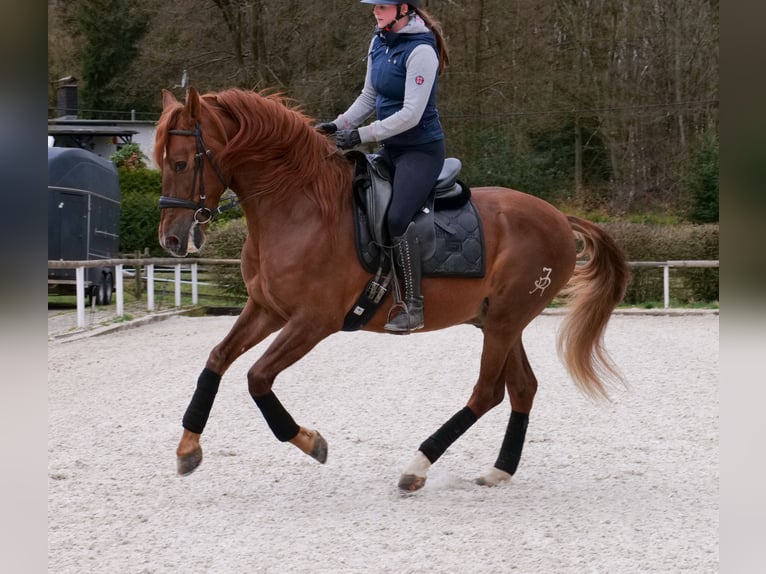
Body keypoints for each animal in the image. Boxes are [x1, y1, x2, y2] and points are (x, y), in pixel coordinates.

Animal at [155, 87, 630, 491]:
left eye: (181, 163)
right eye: (161, 162)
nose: (172, 240)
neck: (299, 206)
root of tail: (559, 217)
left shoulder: (313, 321)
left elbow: (257, 378)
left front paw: (310, 441)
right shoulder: (266, 308)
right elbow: (217, 360)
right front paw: (188, 447)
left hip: (504, 322)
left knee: (487, 392)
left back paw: (417, 466)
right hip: (497, 321)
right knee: (522, 388)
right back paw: (499, 471)